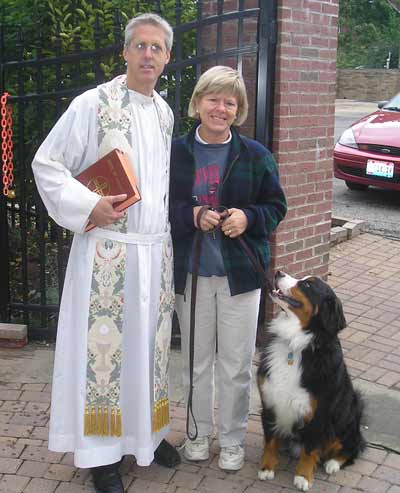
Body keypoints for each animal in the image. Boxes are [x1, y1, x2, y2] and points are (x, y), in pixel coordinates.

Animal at [256, 270, 366, 490]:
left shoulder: (319, 413)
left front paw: (303, 476)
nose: (278, 272)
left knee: (352, 447)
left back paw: (333, 463)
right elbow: (270, 440)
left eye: (307, 285)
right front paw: (267, 467)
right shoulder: (270, 401)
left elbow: (310, 449)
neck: (296, 345)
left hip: (347, 417)